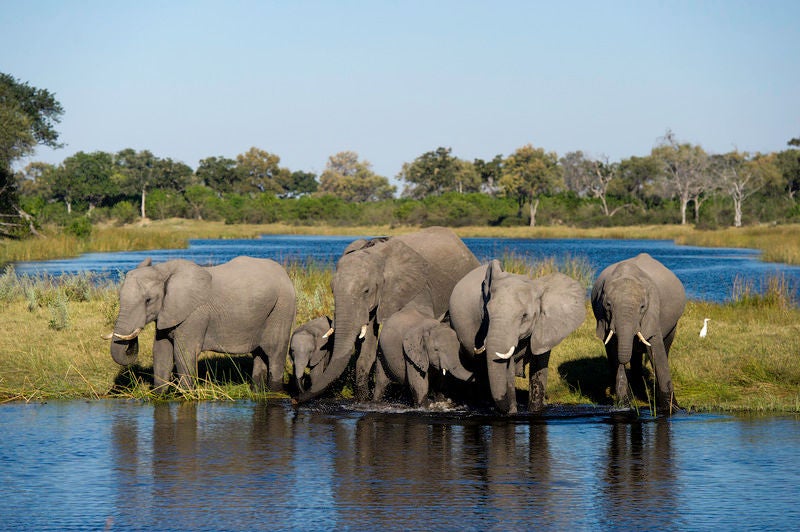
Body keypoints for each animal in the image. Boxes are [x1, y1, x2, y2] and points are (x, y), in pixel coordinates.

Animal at [104, 256, 296, 392]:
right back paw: (257, 391)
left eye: (148, 300)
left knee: (275, 352)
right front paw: (159, 395)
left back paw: (274, 391)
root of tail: (285, 274)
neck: (163, 270)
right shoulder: (168, 312)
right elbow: (161, 351)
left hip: (282, 307)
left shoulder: (194, 314)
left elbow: (183, 353)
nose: (130, 342)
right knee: (259, 353)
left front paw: (187, 395)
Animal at [296, 225, 478, 404]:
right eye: (332, 290)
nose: (297, 399)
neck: (376, 254)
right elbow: (368, 342)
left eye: (366, 290)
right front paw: (363, 401)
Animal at [450, 260, 588, 414]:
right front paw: (512, 412)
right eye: (486, 314)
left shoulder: (546, 327)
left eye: (524, 316)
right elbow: (508, 367)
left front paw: (535, 410)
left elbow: (539, 362)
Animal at [588, 251, 688, 414]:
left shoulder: (653, 311)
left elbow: (656, 350)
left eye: (642, 307)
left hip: (673, 324)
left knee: (665, 346)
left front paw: (672, 409)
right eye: (608, 305)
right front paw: (624, 406)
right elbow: (613, 350)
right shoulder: (603, 316)